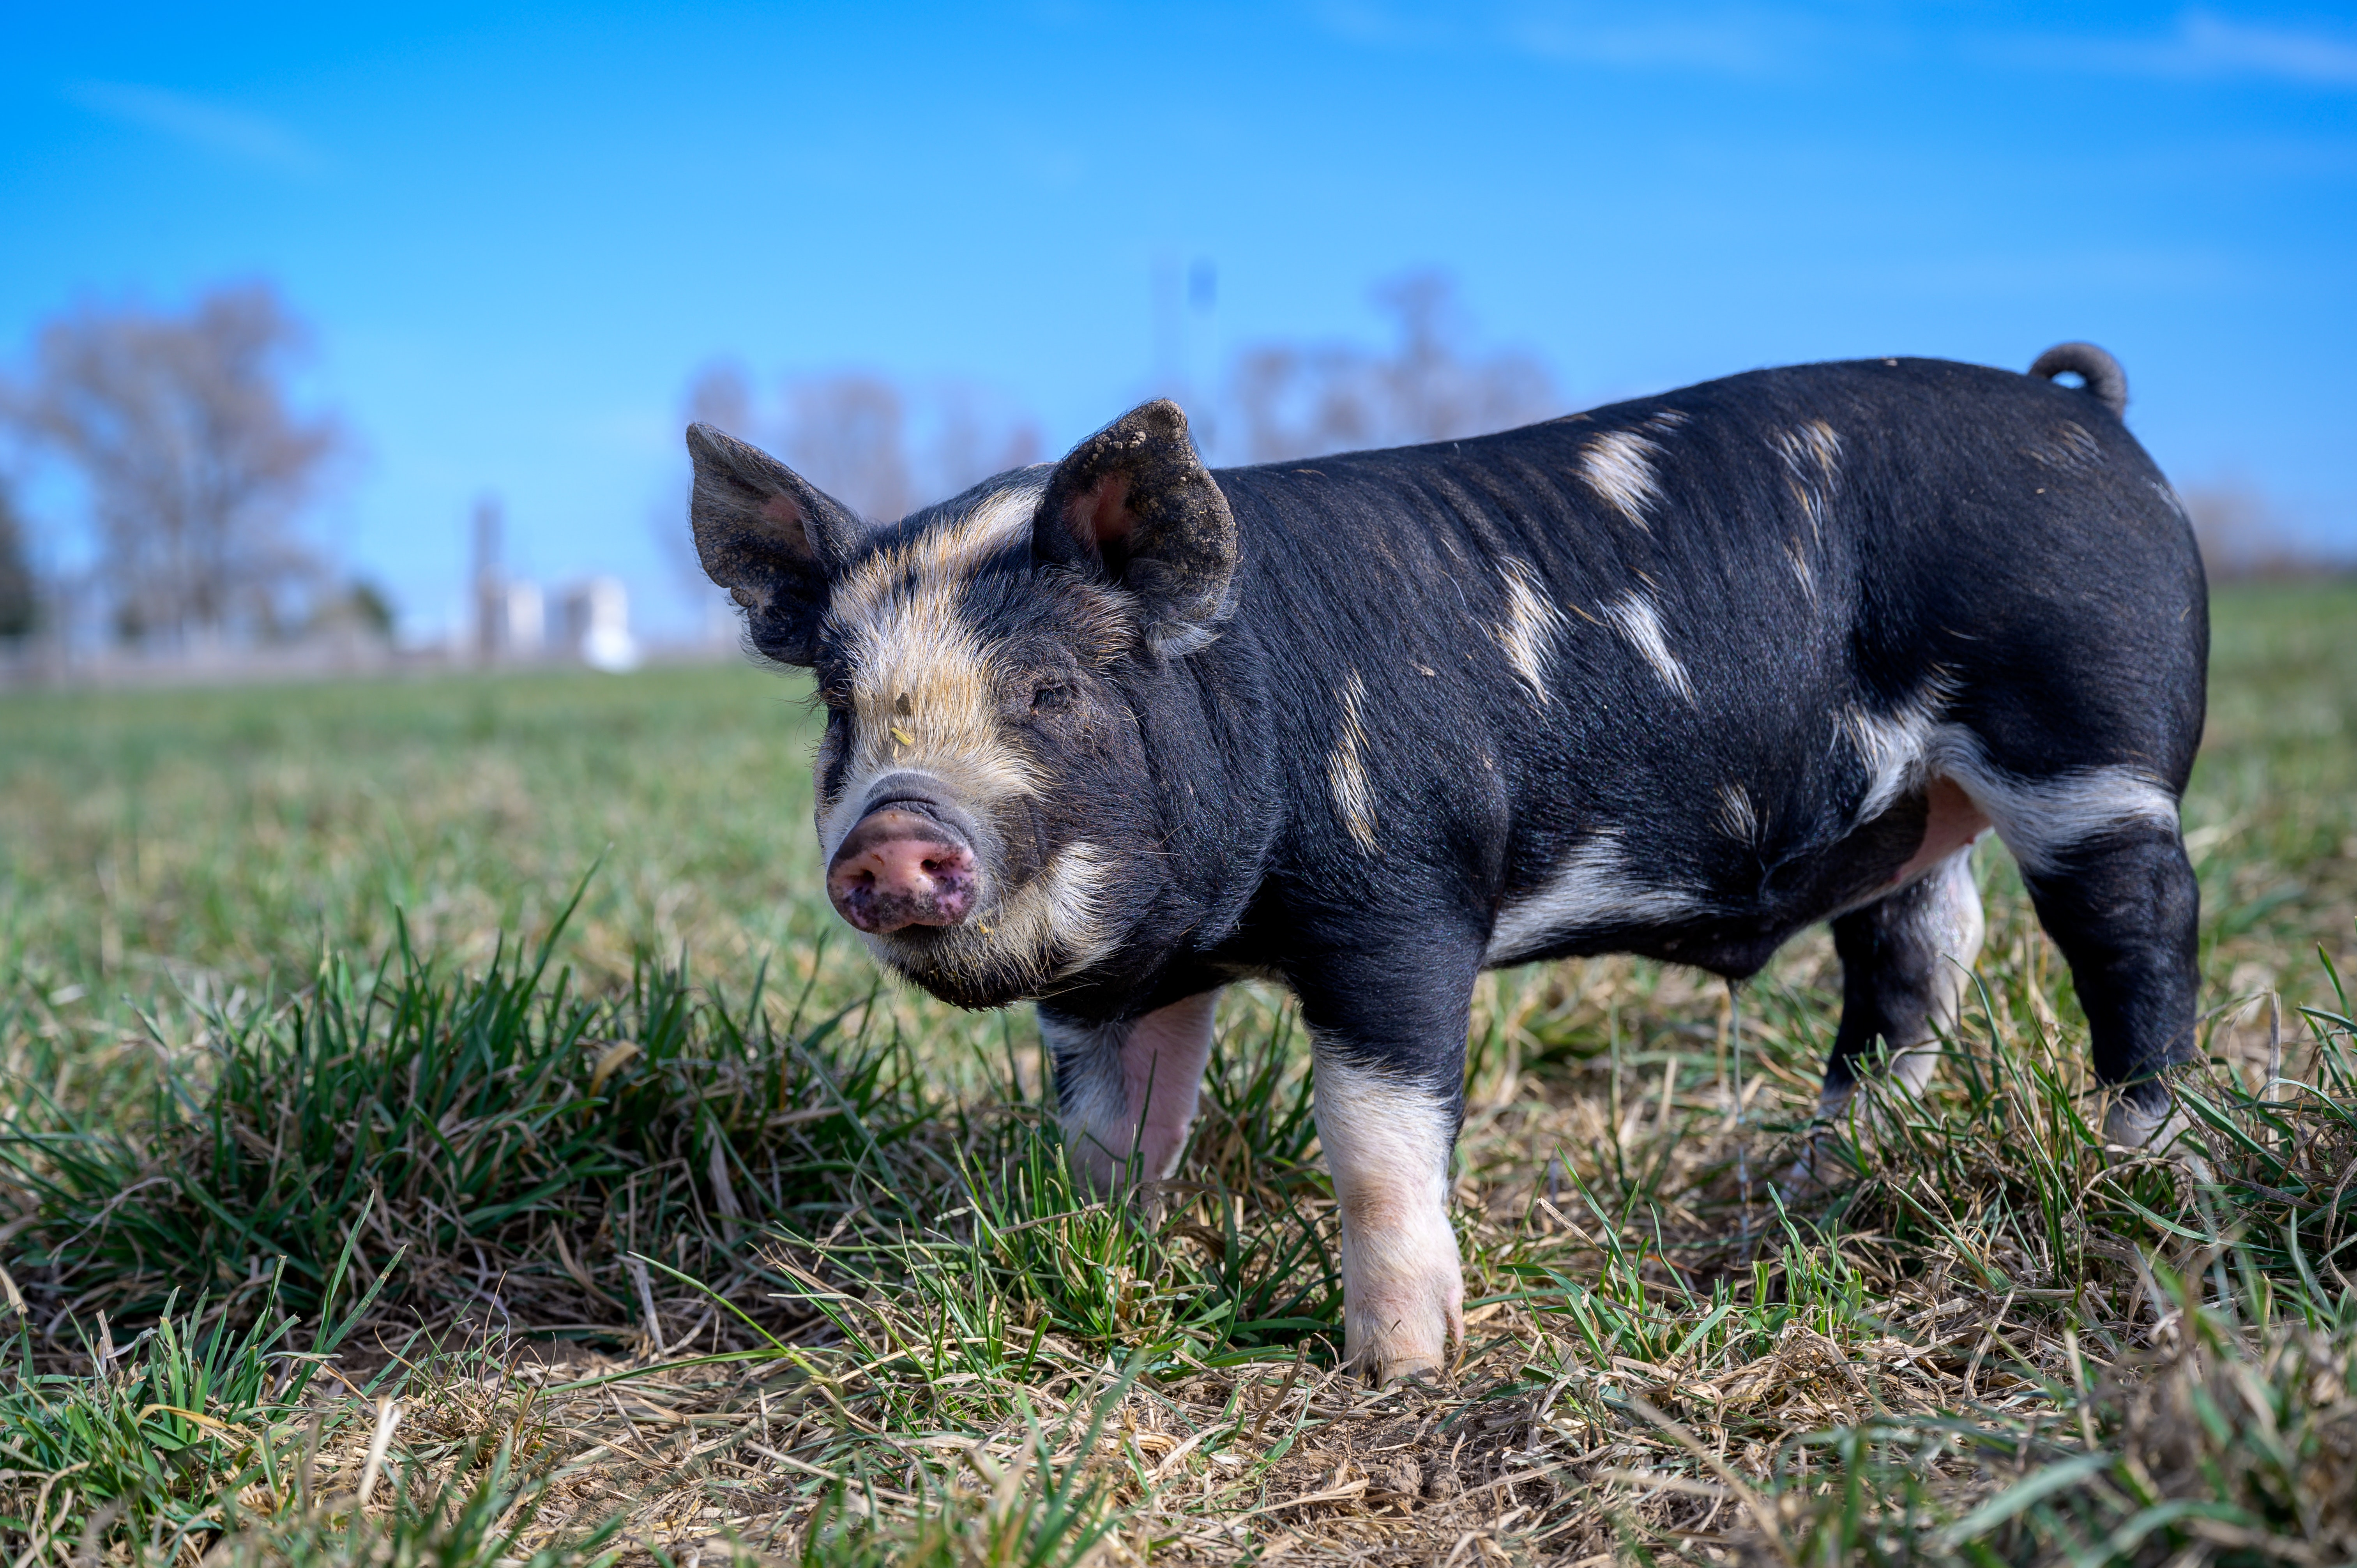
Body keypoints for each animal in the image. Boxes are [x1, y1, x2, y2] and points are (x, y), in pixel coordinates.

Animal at [683, 346, 2206, 1386]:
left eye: (1050, 691)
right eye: (840, 710)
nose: (892, 834)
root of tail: (2087, 414)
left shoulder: (1402, 905)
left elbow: (1373, 1143)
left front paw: (1398, 1370)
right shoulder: (1115, 984)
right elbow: (1108, 1138)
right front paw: (1109, 1263)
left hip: (2090, 739)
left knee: (2136, 940)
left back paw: (2138, 1170)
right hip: (1909, 815)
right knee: (1911, 965)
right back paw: (1808, 1186)